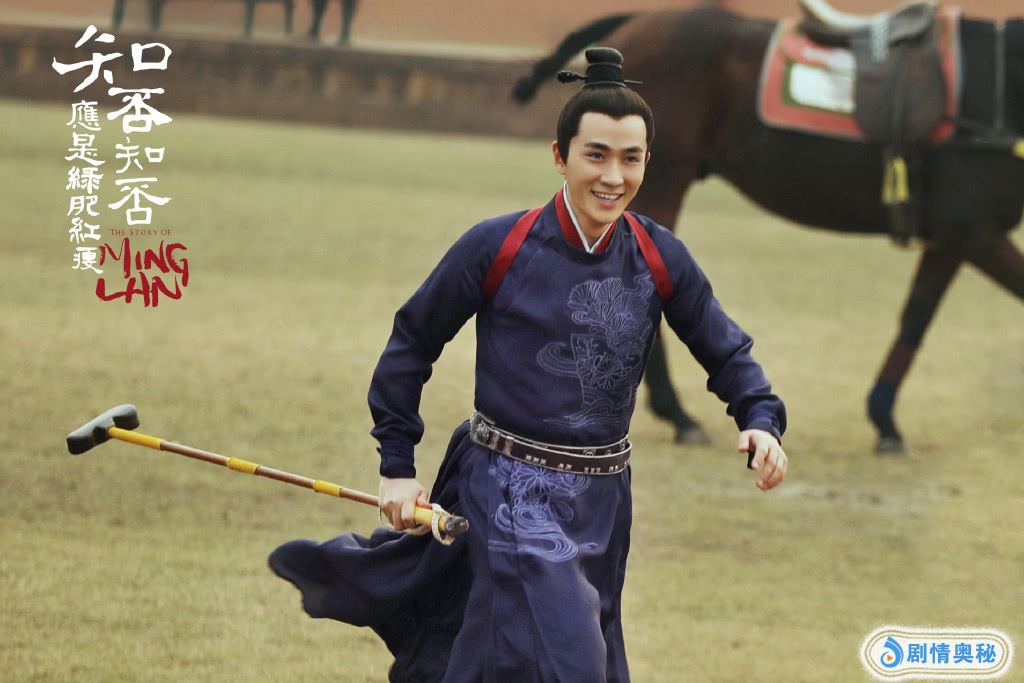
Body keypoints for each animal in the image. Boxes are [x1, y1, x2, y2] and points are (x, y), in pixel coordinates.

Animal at [513, 3, 1024, 453]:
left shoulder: (953, 237)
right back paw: (679, 415)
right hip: (662, 181)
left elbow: (916, 316)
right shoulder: (971, 230)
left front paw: (883, 418)